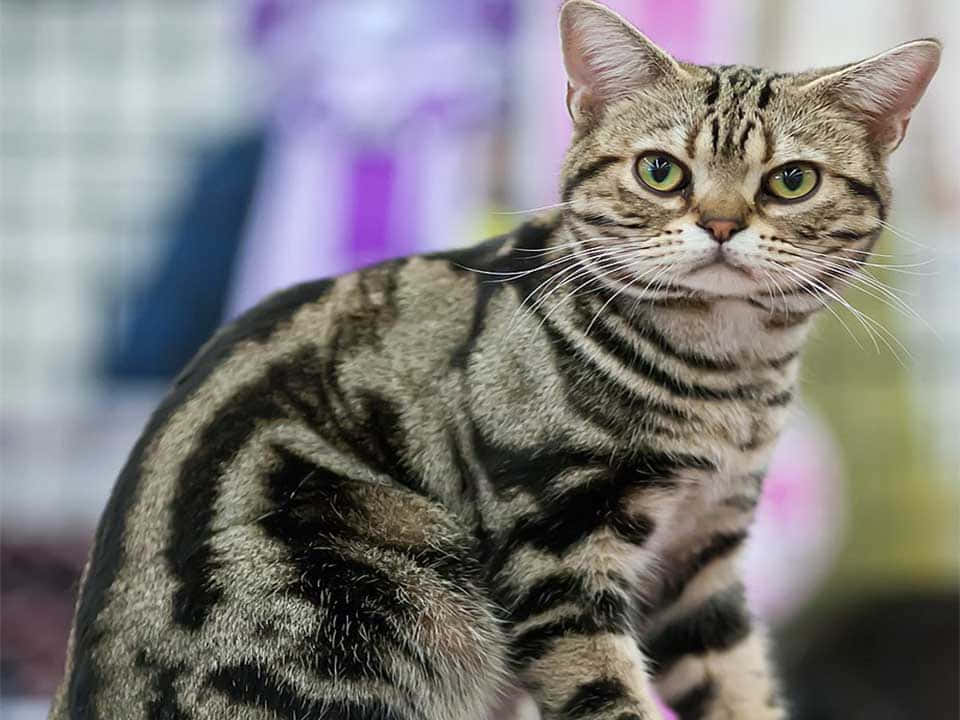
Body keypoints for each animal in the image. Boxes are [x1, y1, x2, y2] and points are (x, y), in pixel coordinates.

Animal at [50, 4, 936, 720]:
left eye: (791, 181)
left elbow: (740, 686)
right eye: (661, 171)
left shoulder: (700, 560)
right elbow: (604, 692)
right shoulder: (558, 542)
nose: (721, 224)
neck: (729, 383)